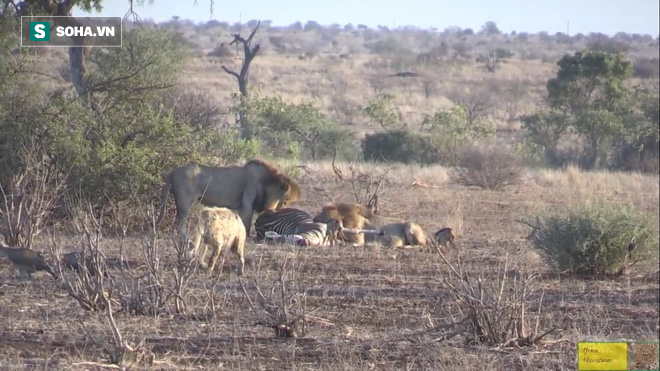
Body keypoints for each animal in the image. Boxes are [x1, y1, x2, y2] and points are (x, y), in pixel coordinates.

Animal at [156, 159, 300, 237]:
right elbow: (246, 223)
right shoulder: (246, 204)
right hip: (185, 201)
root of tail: (172, 171)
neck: (266, 182)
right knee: (179, 222)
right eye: (285, 201)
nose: (279, 212)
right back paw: (187, 238)